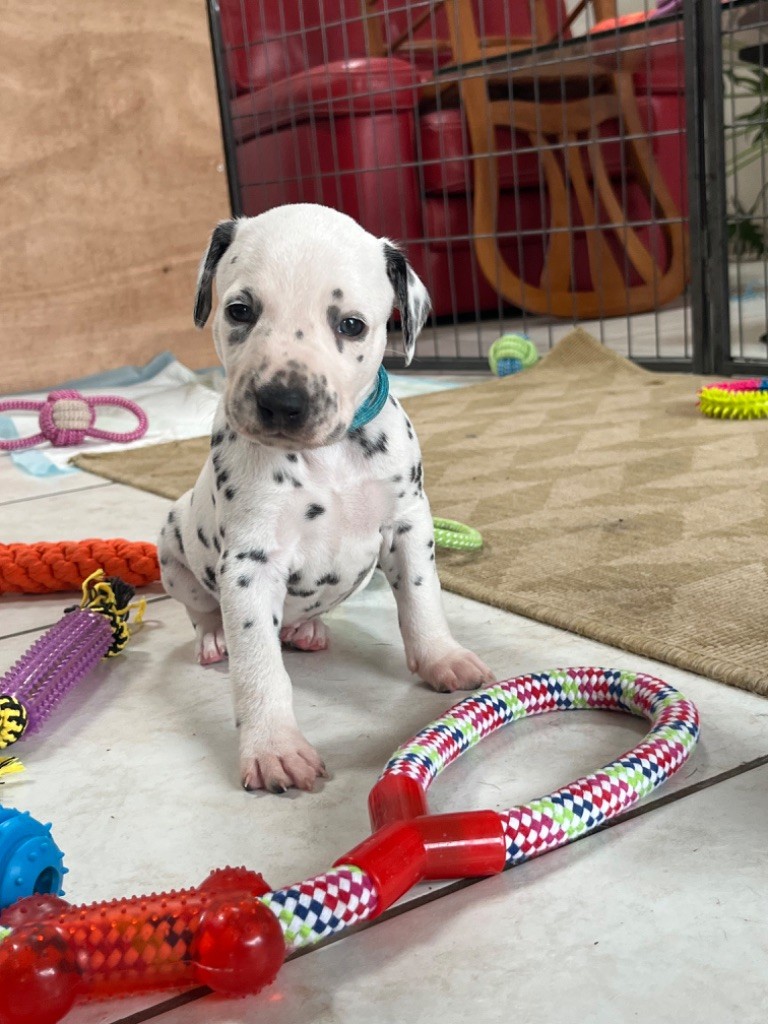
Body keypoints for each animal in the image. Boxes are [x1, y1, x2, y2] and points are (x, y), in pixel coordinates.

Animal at [158, 204, 495, 794]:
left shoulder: (409, 524)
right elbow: (259, 666)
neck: (328, 456)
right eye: (240, 310)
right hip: (172, 541)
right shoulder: (250, 563)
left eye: (351, 324)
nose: (281, 401)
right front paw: (273, 748)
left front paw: (443, 658)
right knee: (200, 608)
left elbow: (423, 599)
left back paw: (308, 629)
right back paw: (213, 638)